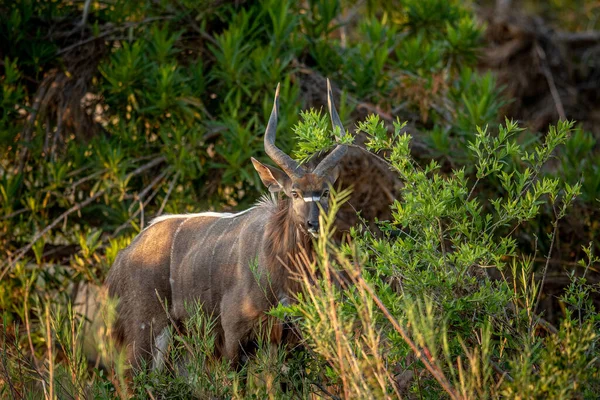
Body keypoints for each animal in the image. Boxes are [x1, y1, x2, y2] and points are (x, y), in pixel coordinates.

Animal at [105, 79, 350, 372]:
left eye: (324, 192)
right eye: (294, 193)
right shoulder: (234, 335)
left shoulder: (290, 338)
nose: (314, 223)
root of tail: (123, 257)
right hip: (146, 331)